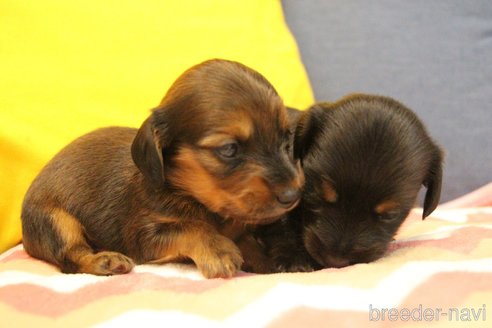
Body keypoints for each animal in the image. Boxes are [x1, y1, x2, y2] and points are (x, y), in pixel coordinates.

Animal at [22, 58, 304, 276]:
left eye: (285, 139)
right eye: (229, 149)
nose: (293, 196)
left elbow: (248, 242)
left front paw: (268, 263)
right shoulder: (144, 234)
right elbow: (190, 227)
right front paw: (219, 250)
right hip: (55, 220)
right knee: (70, 256)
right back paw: (105, 261)